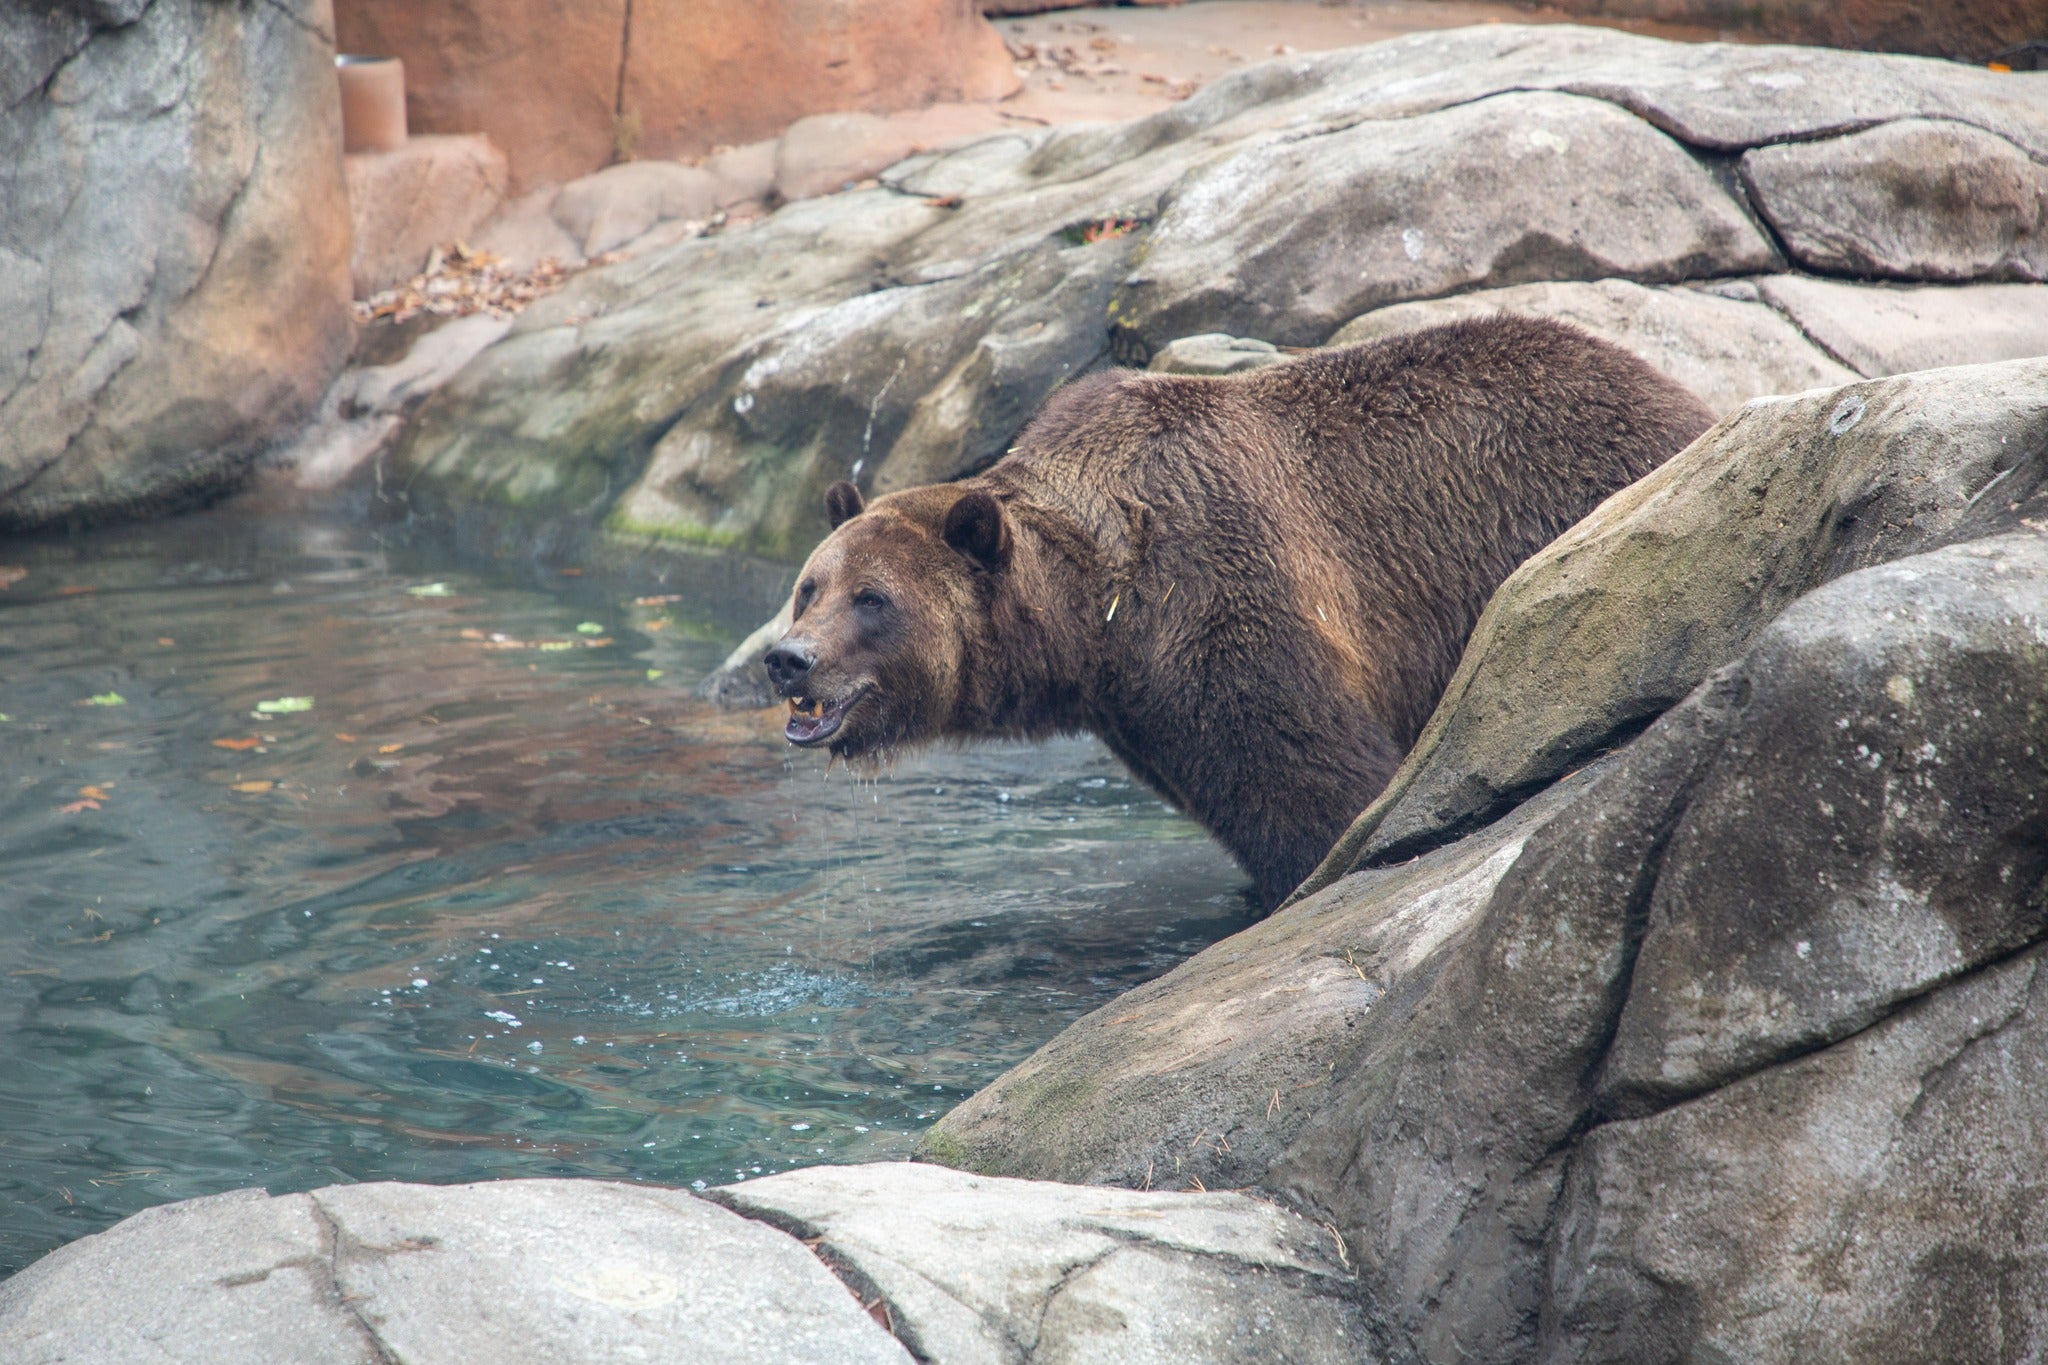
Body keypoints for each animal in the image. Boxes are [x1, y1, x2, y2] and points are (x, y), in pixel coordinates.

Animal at [764, 315, 1716, 911]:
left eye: (873, 599)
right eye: (810, 587)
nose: (788, 658)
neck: (1100, 615)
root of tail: (1684, 397)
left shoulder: (1226, 604)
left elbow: (1319, 788)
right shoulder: (1143, 705)